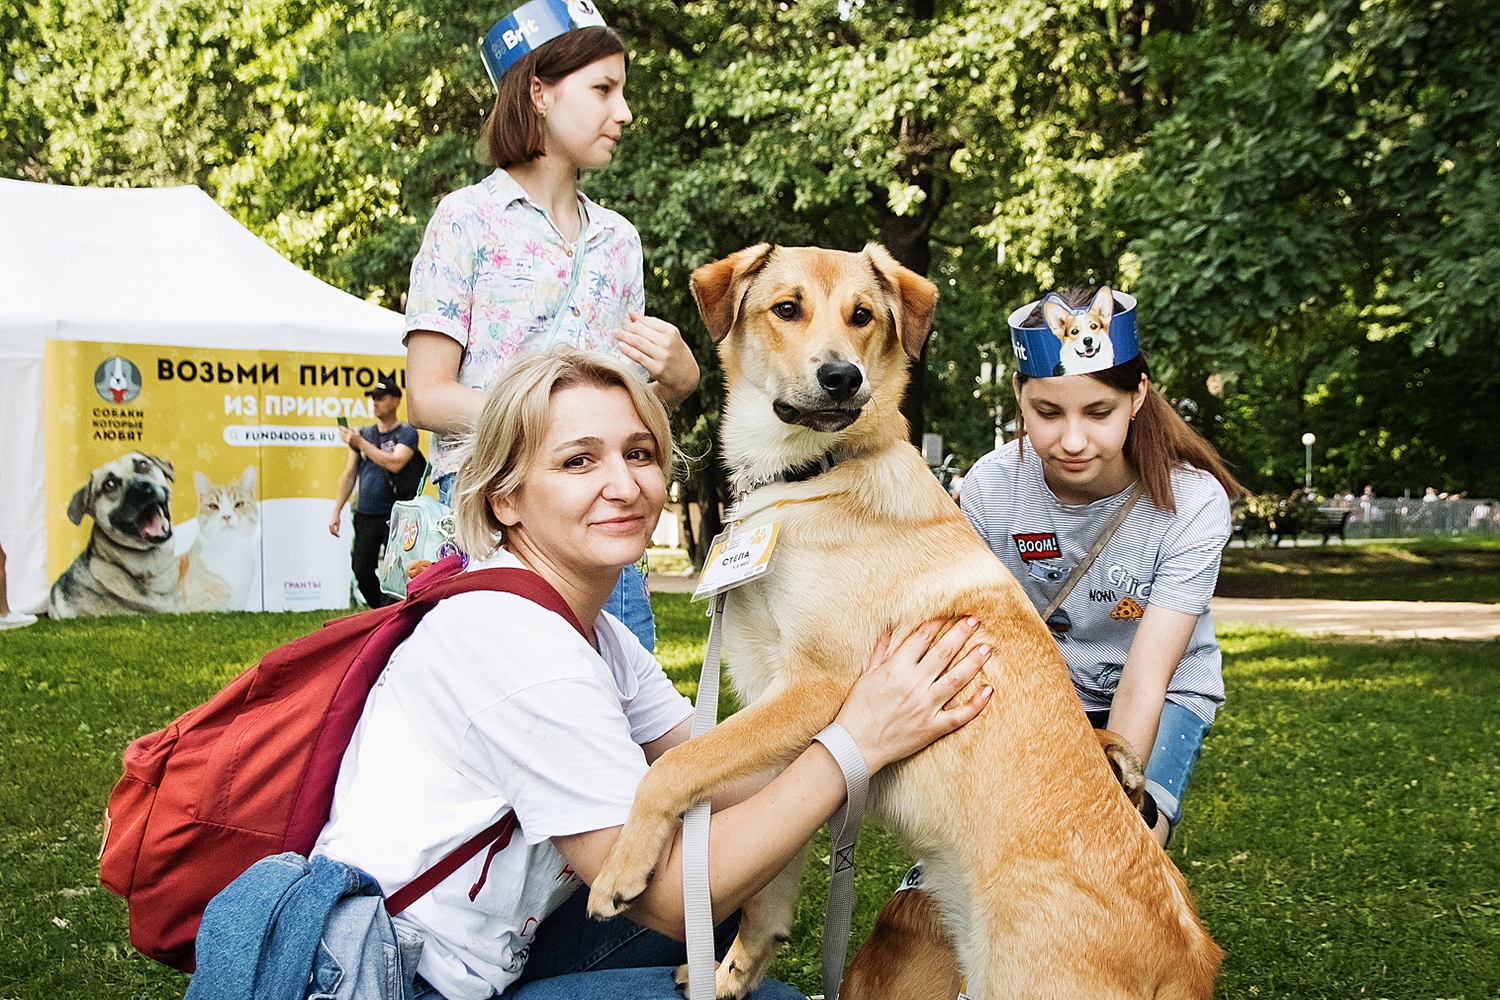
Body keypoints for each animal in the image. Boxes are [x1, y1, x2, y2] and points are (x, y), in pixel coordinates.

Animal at [585, 244, 1218, 1000]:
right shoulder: (788, 721)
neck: (808, 477)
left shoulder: (814, 689)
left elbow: (679, 765)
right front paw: (733, 970)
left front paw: (622, 869)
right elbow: (771, 872)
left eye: (863, 315)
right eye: (787, 308)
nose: (841, 377)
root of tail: (1189, 959)